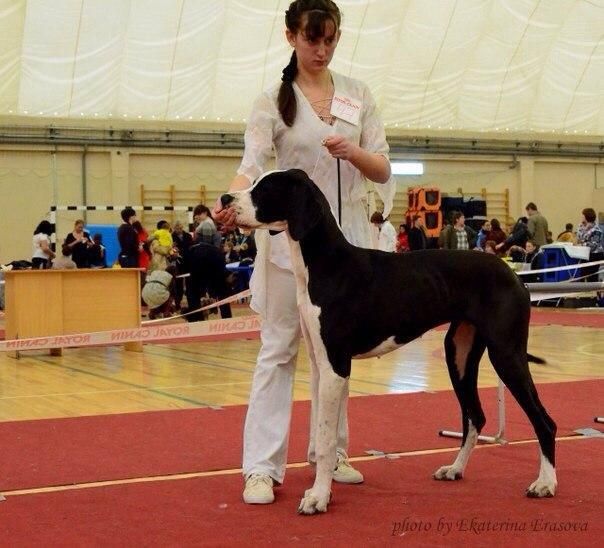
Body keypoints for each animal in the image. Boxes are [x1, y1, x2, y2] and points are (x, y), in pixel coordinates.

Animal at [221, 169, 557, 515]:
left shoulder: (335, 366)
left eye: (266, 188)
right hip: (459, 354)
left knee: (544, 421)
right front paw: (320, 490)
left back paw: (545, 483)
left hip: (506, 353)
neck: (326, 264)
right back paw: (455, 468)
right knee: (475, 416)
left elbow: (326, 440)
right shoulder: (319, 363)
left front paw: (318, 497)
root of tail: (514, 274)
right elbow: (321, 430)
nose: (225, 199)